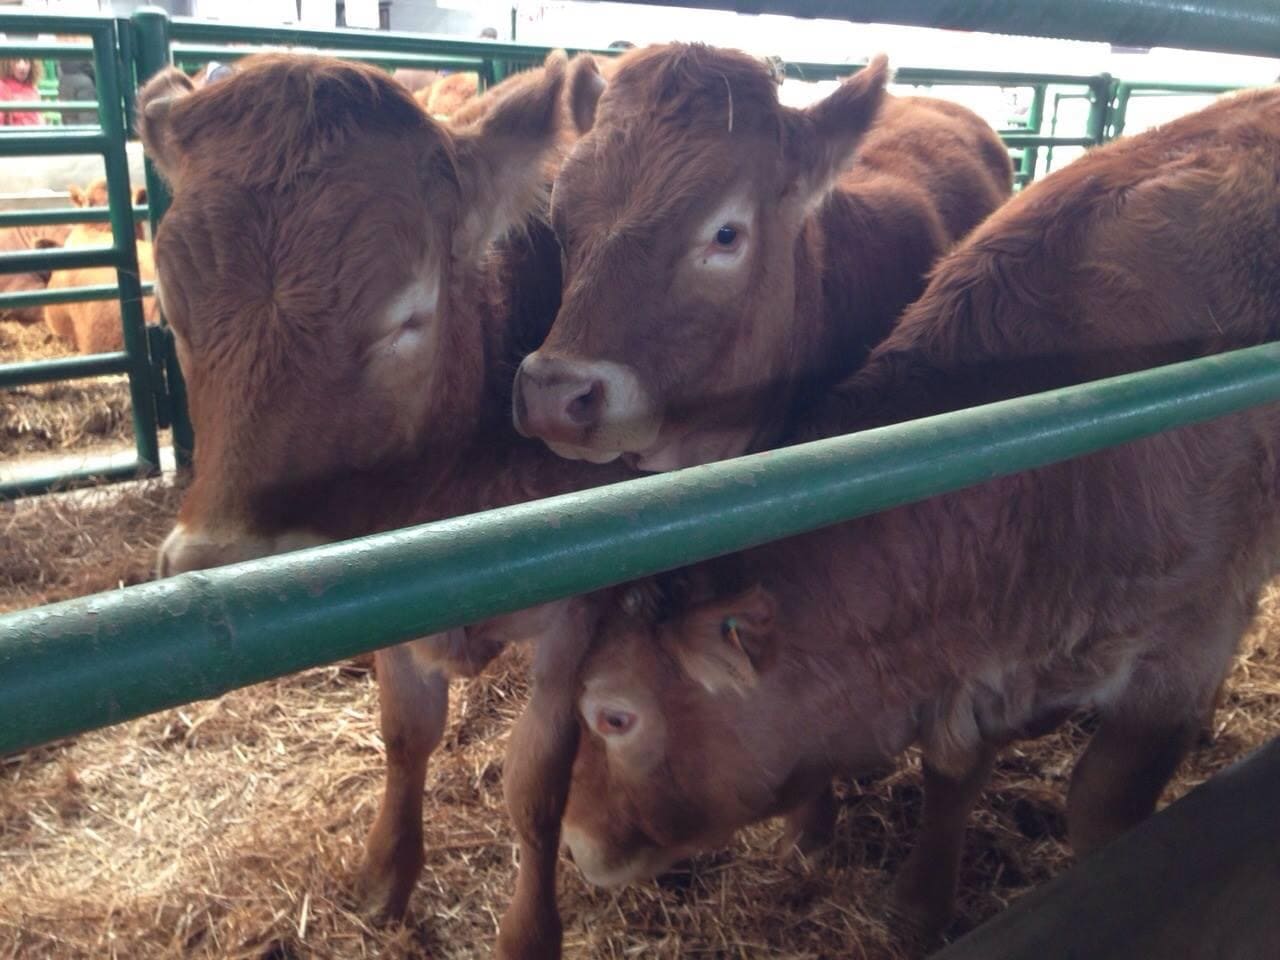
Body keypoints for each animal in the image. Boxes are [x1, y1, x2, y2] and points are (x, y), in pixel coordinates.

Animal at [135, 53, 636, 958]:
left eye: (406, 316)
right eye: (172, 311)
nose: (222, 563)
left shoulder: (580, 611)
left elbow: (537, 783)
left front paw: (528, 929)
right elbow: (406, 734)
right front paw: (386, 875)